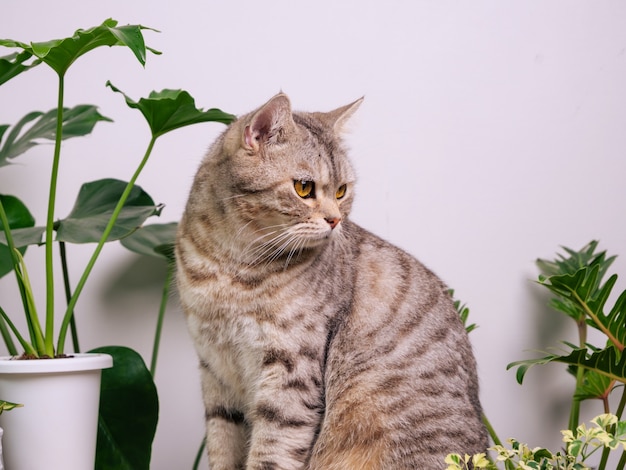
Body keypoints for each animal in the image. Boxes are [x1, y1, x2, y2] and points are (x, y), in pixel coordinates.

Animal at [176, 93, 488, 468]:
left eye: (341, 191)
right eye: (304, 188)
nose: (335, 220)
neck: (230, 265)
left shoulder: (291, 372)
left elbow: (272, 451)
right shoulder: (215, 369)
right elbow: (222, 445)